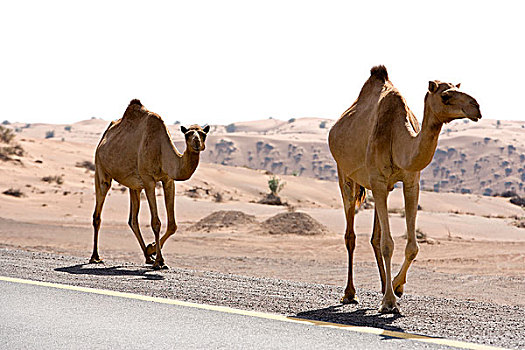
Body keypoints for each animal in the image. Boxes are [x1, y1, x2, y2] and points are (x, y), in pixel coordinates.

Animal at [89, 100, 209, 270]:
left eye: (203, 134)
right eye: (188, 134)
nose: (197, 143)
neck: (161, 150)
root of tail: (103, 139)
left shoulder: (168, 180)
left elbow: (172, 225)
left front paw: (151, 249)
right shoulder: (148, 180)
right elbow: (156, 222)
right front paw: (160, 260)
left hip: (134, 186)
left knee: (133, 220)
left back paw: (147, 257)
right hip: (100, 167)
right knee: (98, 212)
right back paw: (95, 257)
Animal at [330, 66, 482, 314]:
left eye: (457, 88)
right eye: (445, 95)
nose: (476, 107)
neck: (397, 137)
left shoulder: (410, 182)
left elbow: (411, 246)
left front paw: (396, 288)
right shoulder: (378, 180)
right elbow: (388, 244)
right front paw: (389, 303)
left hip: (377, 186)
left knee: (375, 237)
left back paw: (384, 287)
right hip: (345, 174)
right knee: (350, 234)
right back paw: (350, 294)